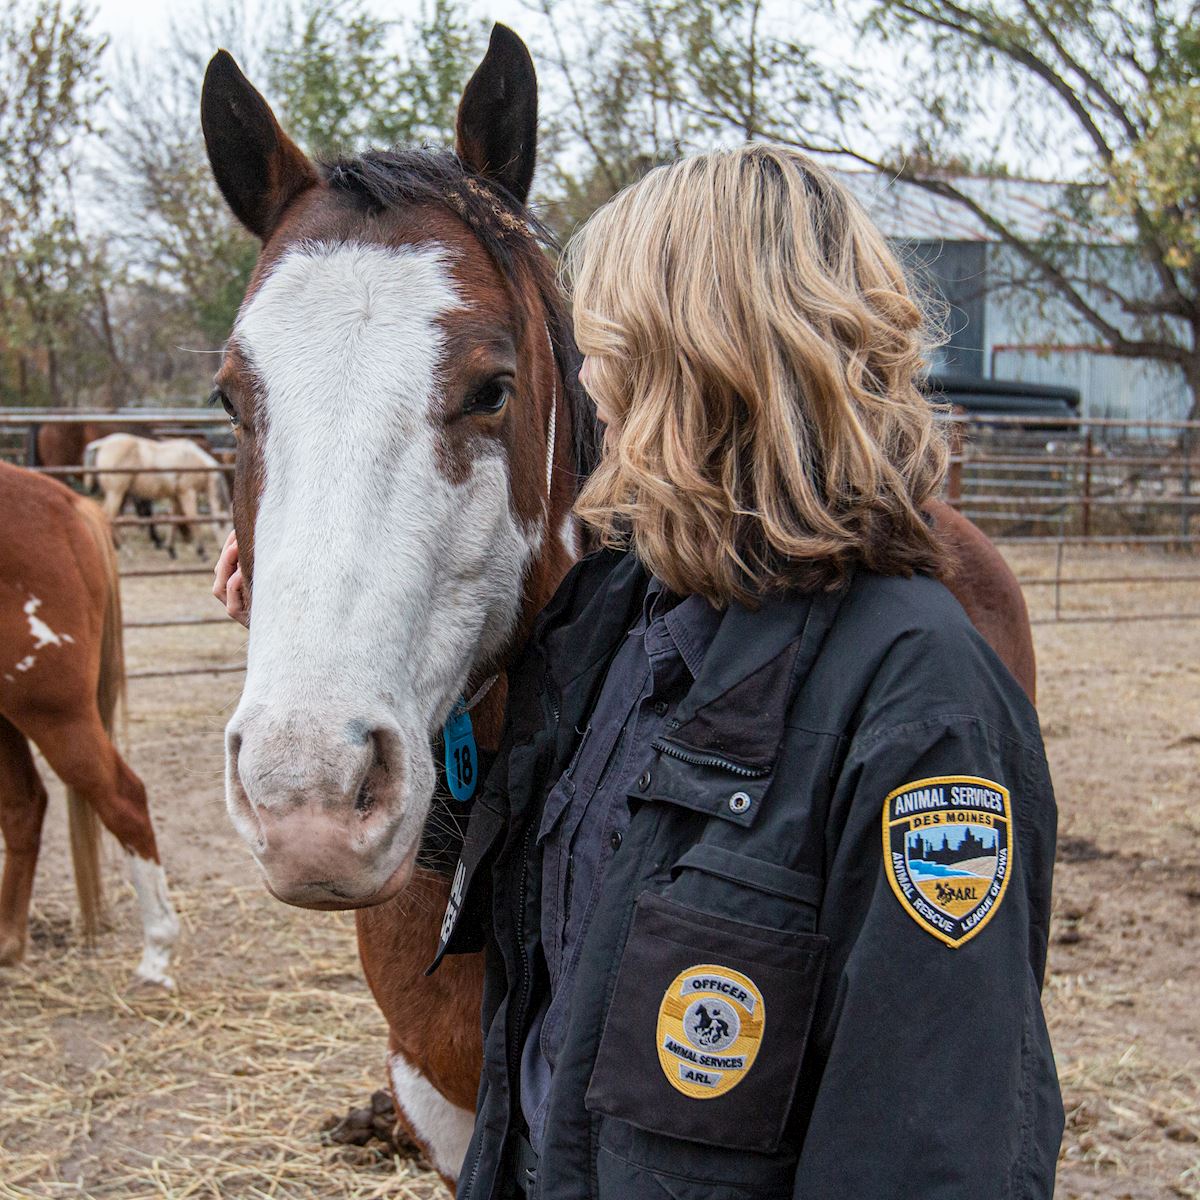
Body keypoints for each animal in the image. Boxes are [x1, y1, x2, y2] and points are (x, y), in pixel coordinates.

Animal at [84, 434, 231, 559]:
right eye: (223, 525)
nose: (221, 549)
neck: (194, 460)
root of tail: (101, 444)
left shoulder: (176, 496)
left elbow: (175, 520)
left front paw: (171, 550)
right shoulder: (187, 492)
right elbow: (193, 518)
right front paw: (202, 552)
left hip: (118, 493)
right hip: (116, 492)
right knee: (110, 516)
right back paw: (125, 549)